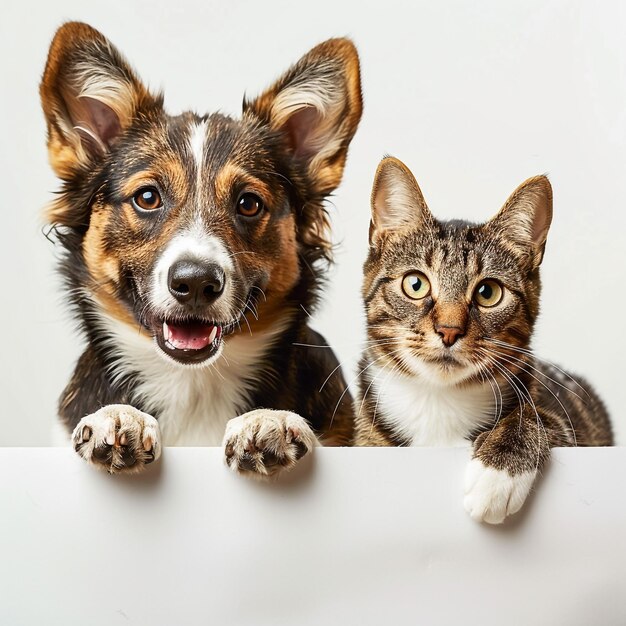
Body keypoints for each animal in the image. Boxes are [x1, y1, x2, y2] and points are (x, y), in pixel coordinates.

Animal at [40, 23, 360, 472]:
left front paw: (269, 419)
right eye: (148, 197)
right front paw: (117, 416)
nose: (195, 283)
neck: (192, 384)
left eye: (248, 203)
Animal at [354, 156, 612, 520]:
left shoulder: (572, 430)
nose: (449, 330)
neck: (439, 401)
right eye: (415, 284)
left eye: (488, 292)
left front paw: (498, 471)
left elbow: (539, 417)